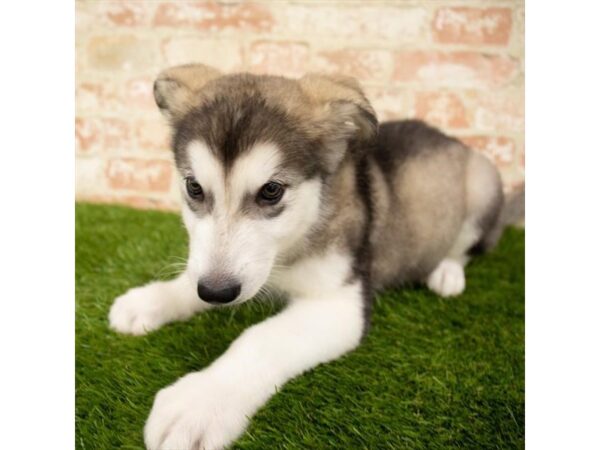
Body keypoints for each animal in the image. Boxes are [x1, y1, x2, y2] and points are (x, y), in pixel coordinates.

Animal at [110, 63, 524, 450]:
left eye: (271, 191)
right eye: (194, 187)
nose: (216, 292)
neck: (289, 246)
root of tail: (454, 140)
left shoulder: (340, 303)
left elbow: (261, 338)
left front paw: (200, 402)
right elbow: (190, 280)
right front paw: (150, 300)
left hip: (484, 182)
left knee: (466, 248)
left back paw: (447, 273)